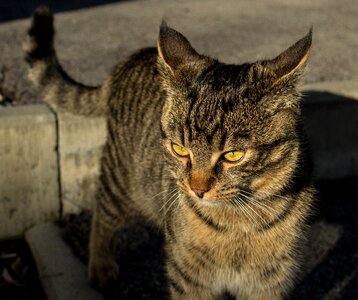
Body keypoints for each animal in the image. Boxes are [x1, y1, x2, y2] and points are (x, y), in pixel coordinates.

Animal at [24, 5, 316, 298]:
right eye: (180, 149)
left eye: (233, 155)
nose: (197, 190)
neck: (238, 222)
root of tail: (130, 59)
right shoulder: (187, 277)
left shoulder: (270, 283)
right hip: (121, 183)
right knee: (101, 213)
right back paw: (100, 264)